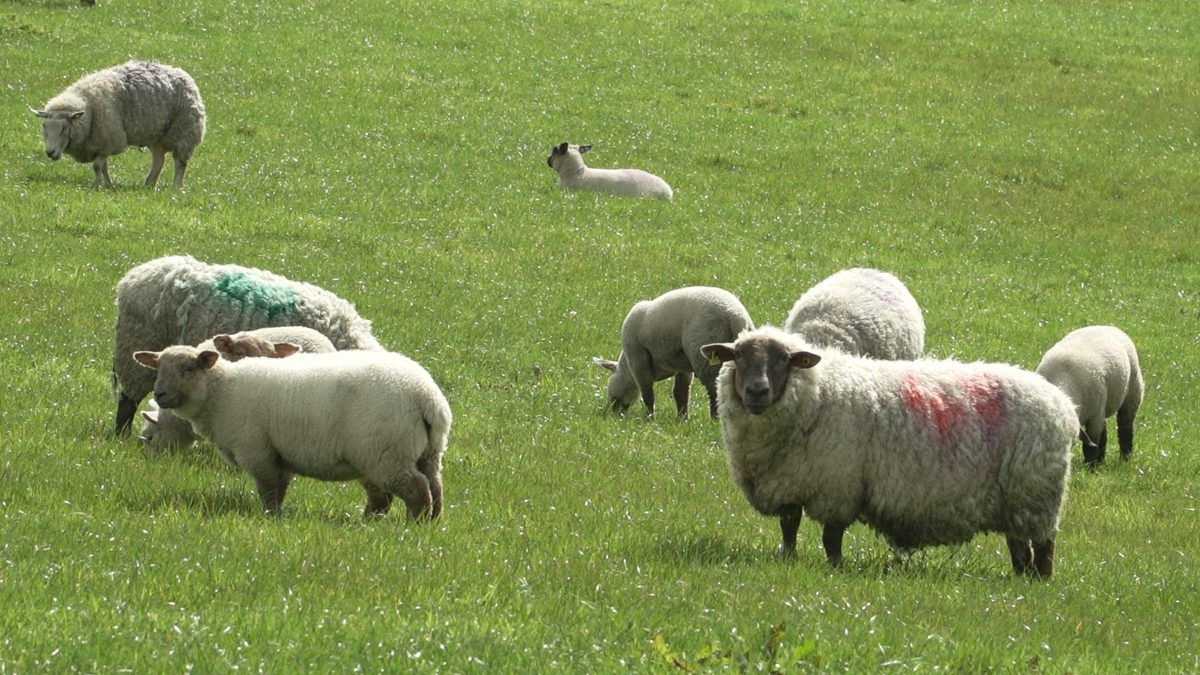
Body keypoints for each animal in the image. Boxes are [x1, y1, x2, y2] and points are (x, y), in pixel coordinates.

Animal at [32, 61, 206, 188]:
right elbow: (103, 167)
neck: (89, 107)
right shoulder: (99, 144)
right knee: (159, 160)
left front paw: (97, 185)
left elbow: (97, 166)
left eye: (64, 128)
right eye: (44, 127)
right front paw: (109, 185)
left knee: (180, 162)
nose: (50, 153)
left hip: (183, 132)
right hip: (155, 135)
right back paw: (148, 185)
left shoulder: (108, 140)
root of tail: (183, 73)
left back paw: (176, 187)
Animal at [133, 346, 452, 519]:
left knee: (416, 489)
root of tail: (426, 396)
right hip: (428, 451)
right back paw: (428, 524)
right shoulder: (279, 455)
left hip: (385, 453)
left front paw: (269, 519)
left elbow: (268, 492)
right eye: (158, 366)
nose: (160, 394)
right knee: (433, 487)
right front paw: (277, 516)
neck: (222, 391)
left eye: (188, 368)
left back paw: (413, 525)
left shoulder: (257, 452)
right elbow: (280, 488)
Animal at [593, 286, 752, 419]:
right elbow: (680, 393)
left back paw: (715, 418)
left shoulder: (638, 361)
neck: (626, 368)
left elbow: (647, 393)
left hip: (704, 351)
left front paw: (649, 418)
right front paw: (682, 419)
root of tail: (735, 315)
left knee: (714, 389)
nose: (614, 413)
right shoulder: (682, 364)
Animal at [700, 326, 1077, 579]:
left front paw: (836, 568)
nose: (757, 391)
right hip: (1014, 501)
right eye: (738, 357)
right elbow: (789, 527)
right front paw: (788, 560)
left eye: (783, 360)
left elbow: (831, 537)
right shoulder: (790, 481)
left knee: (1045, 546)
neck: (817, 394)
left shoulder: (840, 485)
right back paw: (1021, 578)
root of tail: (1063, 405)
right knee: (1019, 545)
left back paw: (1039, 583)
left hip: (1035, 493)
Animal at [1036, 325, 1144, 465]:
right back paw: (1101, 460)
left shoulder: (1094, 417)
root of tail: (1108, 326)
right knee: (1104, 432)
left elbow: (1089, 446)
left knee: (1125, 430)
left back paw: (1124, 459)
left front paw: (1089, 466)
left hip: (1132, 395)